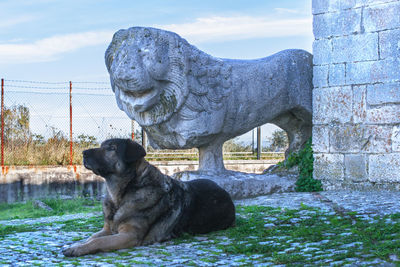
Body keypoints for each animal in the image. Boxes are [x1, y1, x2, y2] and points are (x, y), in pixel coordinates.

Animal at [63, 139, 236, 256]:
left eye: (112, 148)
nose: (83, 153)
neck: (121, 194)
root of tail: (224, 192)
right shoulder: (107, 230)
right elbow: (91, 238)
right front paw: (76, 245)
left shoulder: (129, 236)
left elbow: (98, 241)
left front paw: (77, 249)